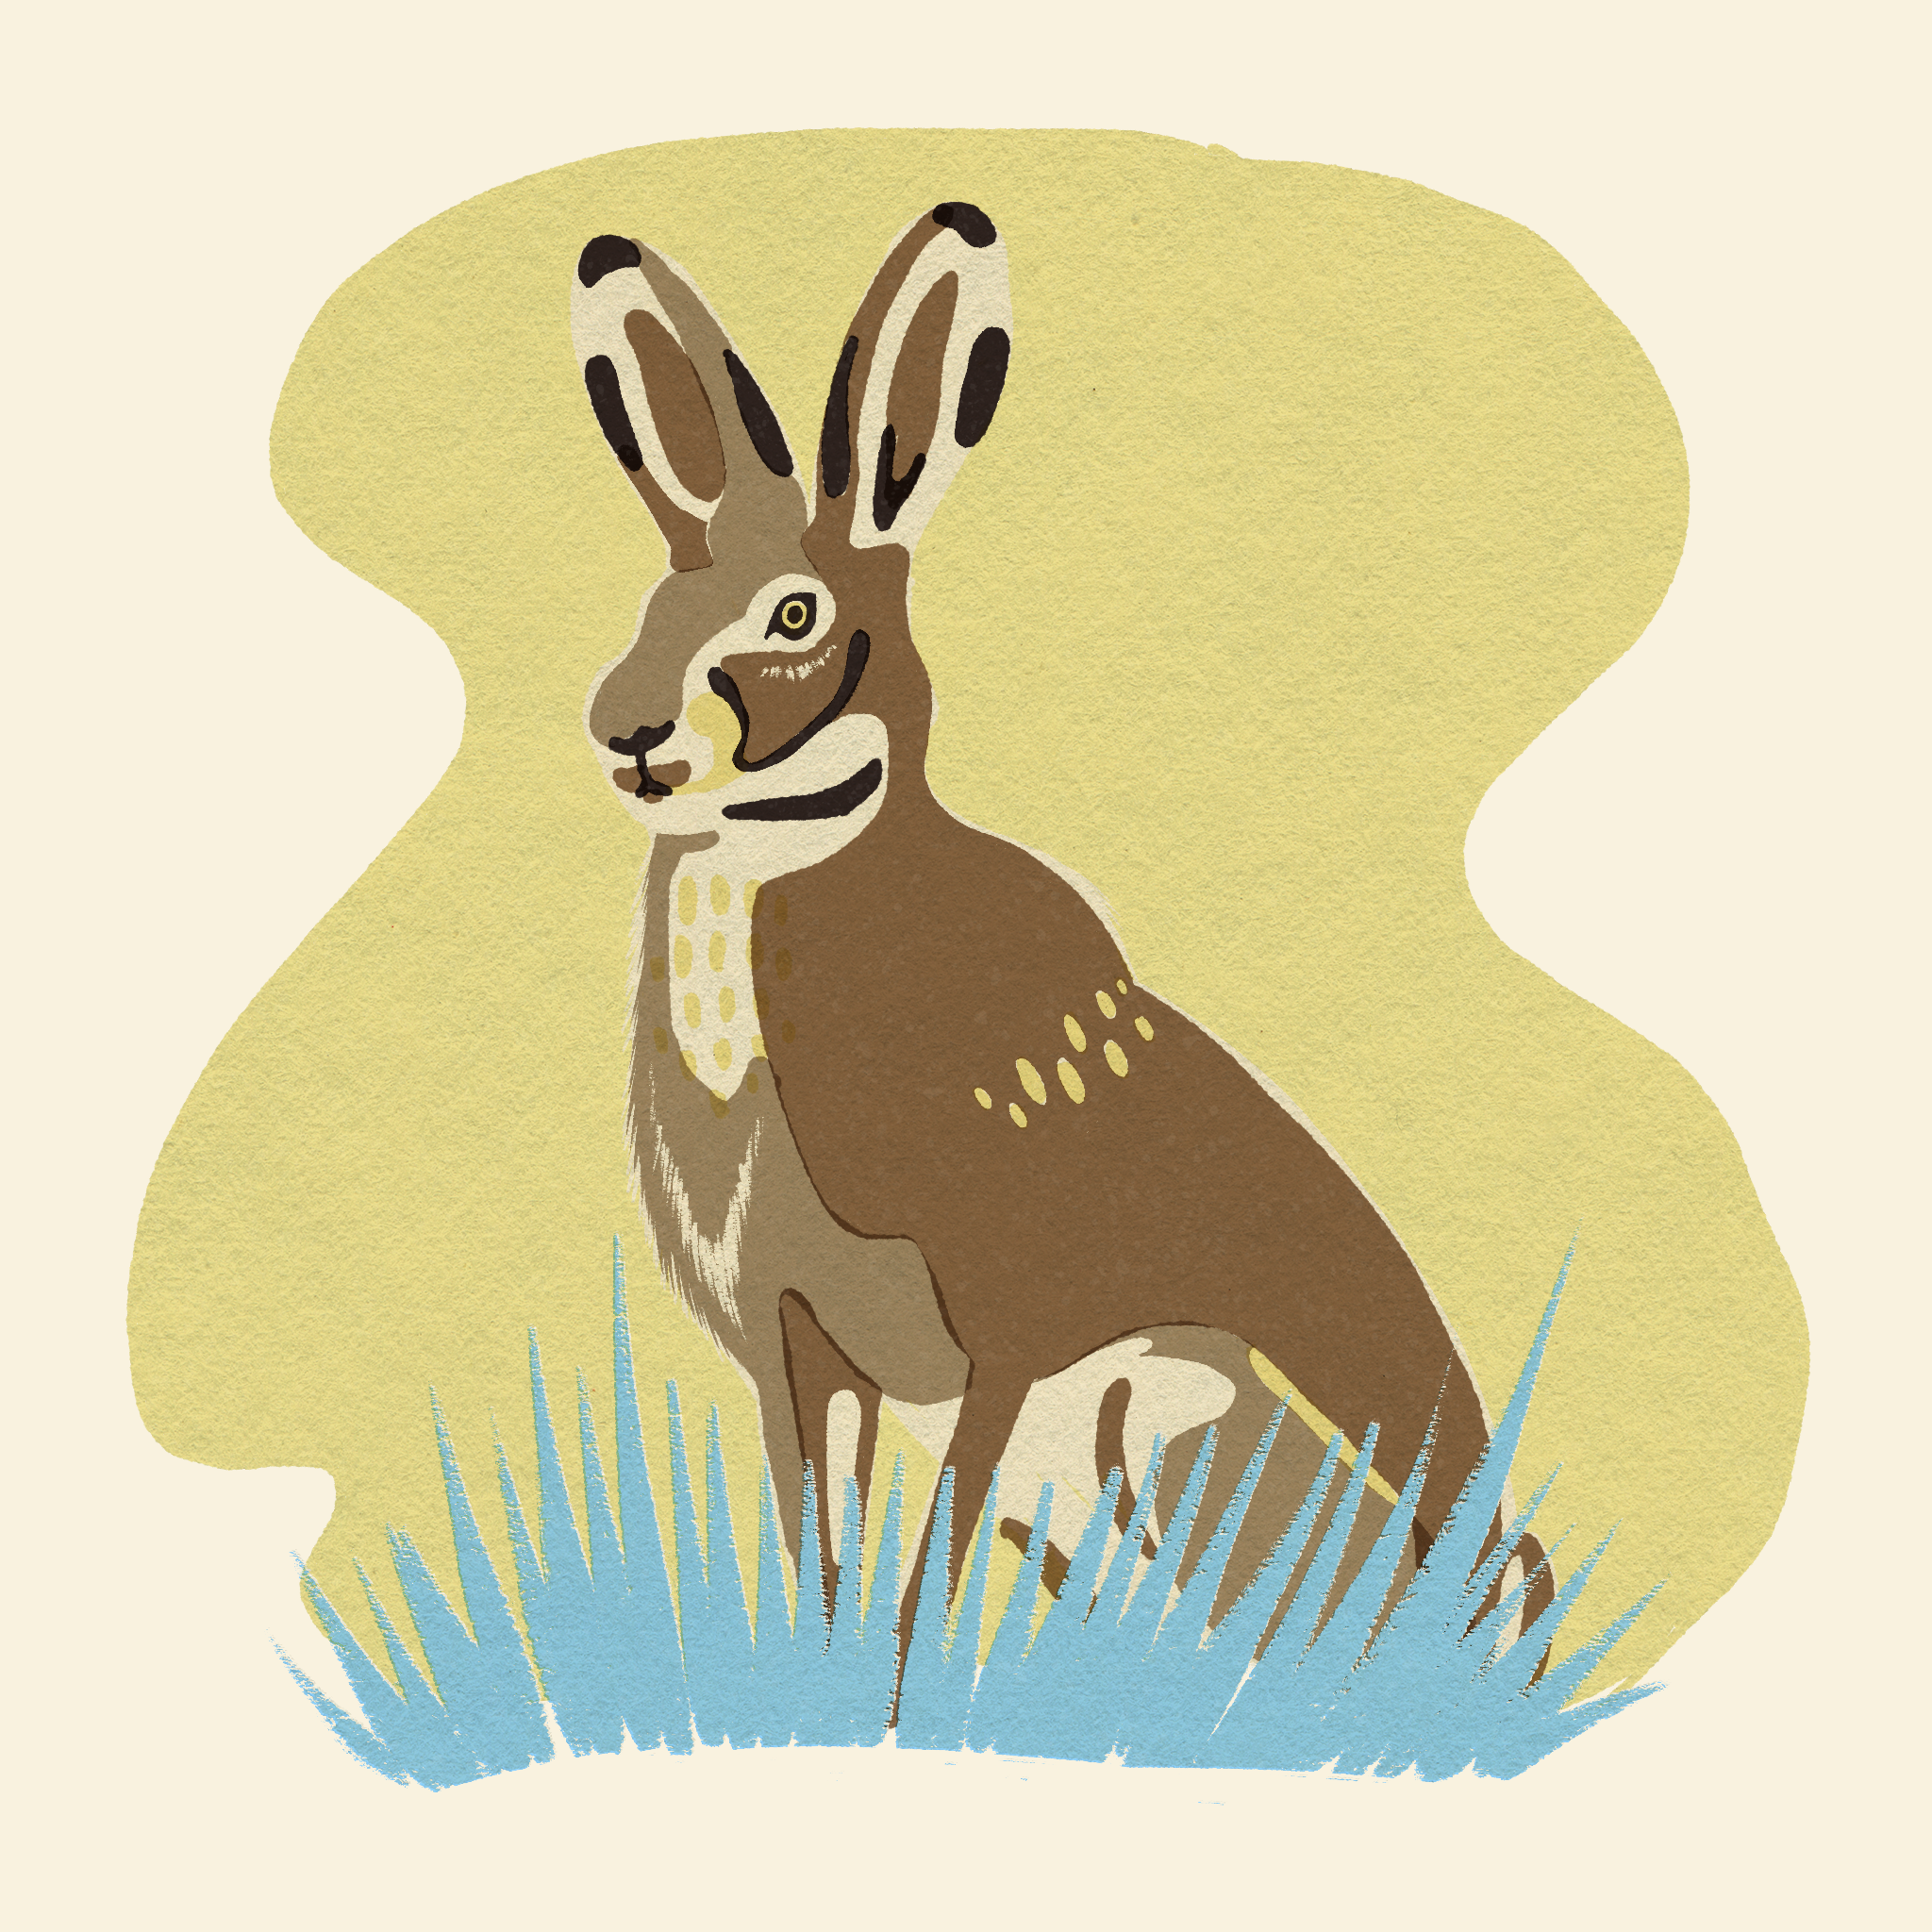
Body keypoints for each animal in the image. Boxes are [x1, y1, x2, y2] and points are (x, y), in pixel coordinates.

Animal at [569, 205, 1550, 1644]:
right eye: (655, 607)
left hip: (1165, 1413)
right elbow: (822, 1558)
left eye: (795, 614)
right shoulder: (796, 1346)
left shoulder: (1004, 1334)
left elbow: (924, 1576)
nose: (629, 735)